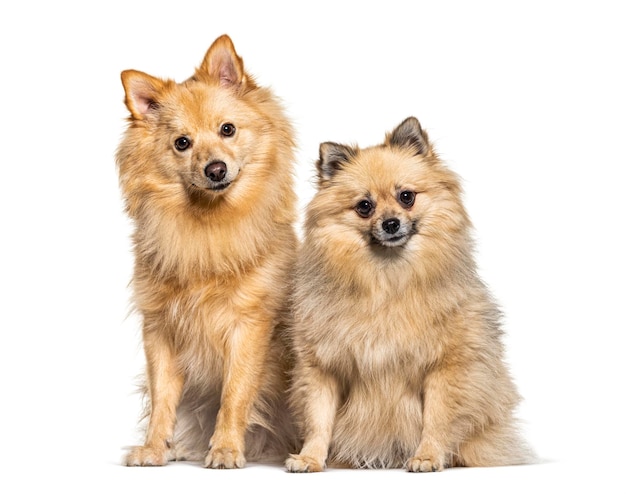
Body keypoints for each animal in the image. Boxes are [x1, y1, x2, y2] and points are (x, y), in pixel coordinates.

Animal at [116, 33, 298, 466]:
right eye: (182, 143)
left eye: (227, 129)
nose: (215, 169)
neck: (206, 229)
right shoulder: (160, 330)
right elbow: (163, 398)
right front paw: (154, 448)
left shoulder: (249, 326)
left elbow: (235, 394)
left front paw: (227, 448)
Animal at [284, 116, 532, 474]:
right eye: (364, 206)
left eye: (406, 197)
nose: (390, 223)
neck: (387, 278)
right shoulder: (323, 367)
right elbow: (319, 420)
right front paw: (310, 458)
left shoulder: (444, 367)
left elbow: (437, 419)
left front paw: (428, 456)